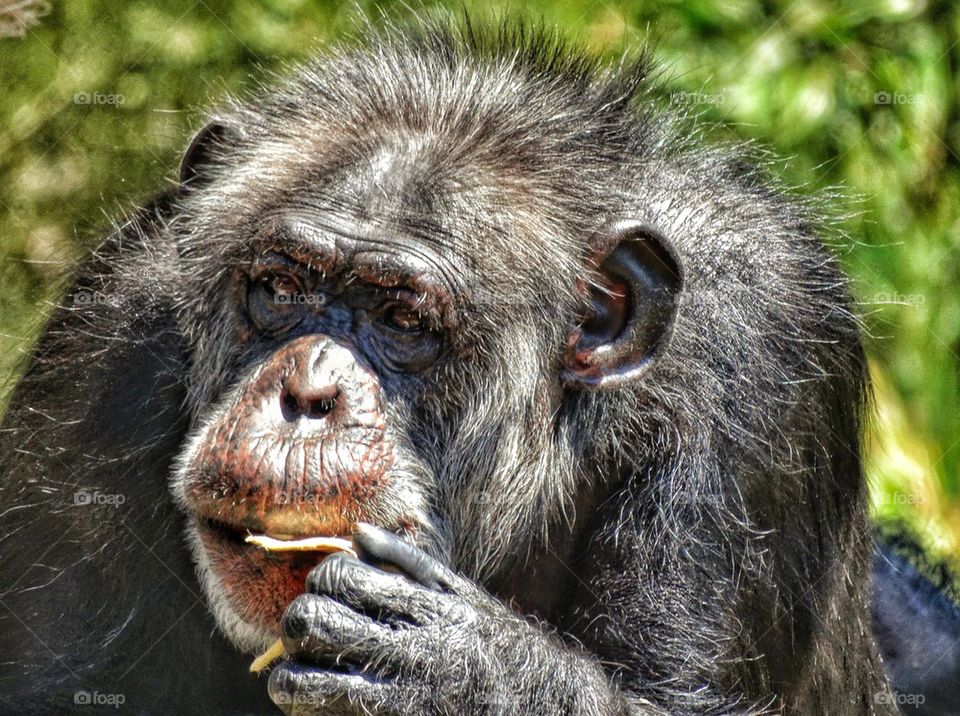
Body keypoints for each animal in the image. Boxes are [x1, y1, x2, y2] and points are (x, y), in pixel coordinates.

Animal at [0, 16, 952, 716]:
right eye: (280, 288)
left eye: (402, 318)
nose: (306, 392)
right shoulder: (109, 335)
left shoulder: (761, 357)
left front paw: (460, 667)